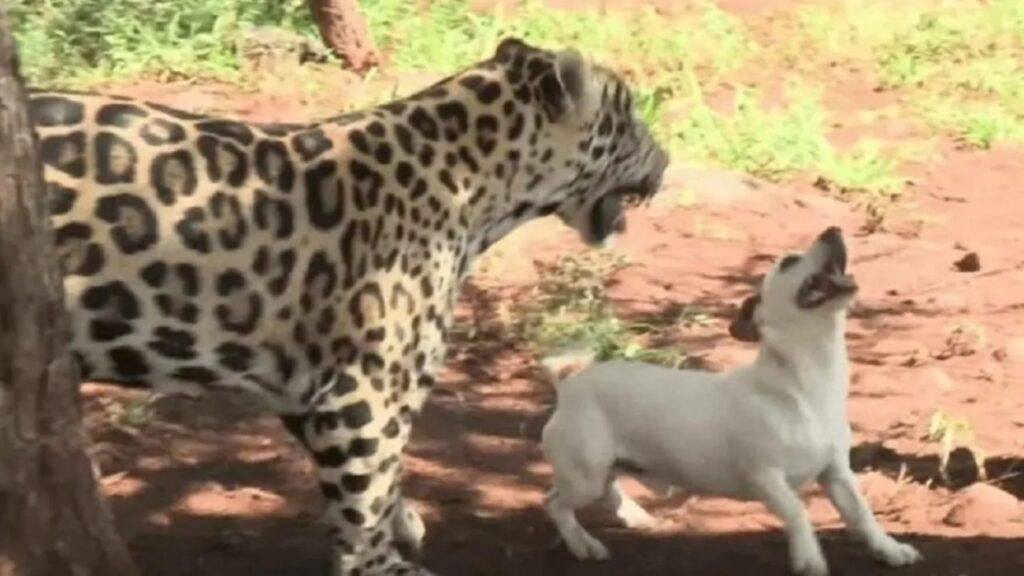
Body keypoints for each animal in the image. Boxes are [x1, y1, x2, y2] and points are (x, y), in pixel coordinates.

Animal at [540, 225, 925, 573]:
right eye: (789, 261)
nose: (833, 229)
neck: (807, 385)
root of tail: (570, 385)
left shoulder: (837, 474)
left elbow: (861, 513)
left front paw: (889, 549)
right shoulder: (764, 476)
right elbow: (796, 510)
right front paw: (808, 557)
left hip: (605, 466)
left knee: (608, 489)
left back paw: (633, 516)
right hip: (585, 473)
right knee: (556, 503)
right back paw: (583, 543)